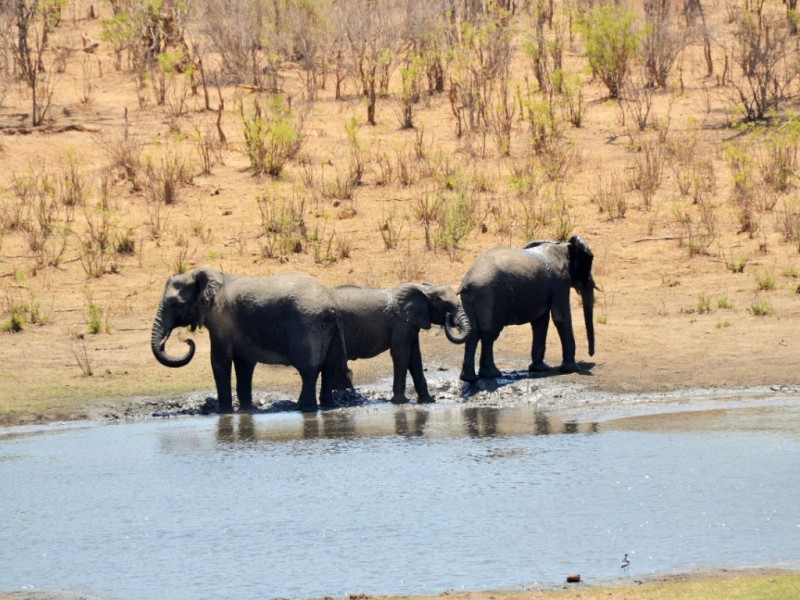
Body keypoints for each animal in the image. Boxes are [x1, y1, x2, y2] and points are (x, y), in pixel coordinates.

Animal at [150, 268, 350, 412]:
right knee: (328, 368)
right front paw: (246, 410)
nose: (187, 341)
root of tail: (331, 307)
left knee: (308, 370)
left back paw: (305, 409)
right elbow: (244, 363)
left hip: (307, 325)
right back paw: (326, 406)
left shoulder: (220, 319)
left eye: (174, 304)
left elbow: (219, 361)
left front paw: (224, 412)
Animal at [330, 284, 468, 406]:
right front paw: (401, 402)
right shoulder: (401, 321)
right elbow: (401, 352)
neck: (425, 289)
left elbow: (414, 356)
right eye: (446, 304)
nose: (448, 318)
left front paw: (428, 402)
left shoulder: (411, 322)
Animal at [460, 234, 596, 380]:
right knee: (489, 333)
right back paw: (492, 374)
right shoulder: (560, 281)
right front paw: (571, 370)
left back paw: (469, 378)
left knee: (473, 332)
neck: (563, 247)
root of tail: (469, 282)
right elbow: (560, 317)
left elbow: (540, 321)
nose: (590, 354)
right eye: (588, 267)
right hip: (489, 295)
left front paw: (540, 369)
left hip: (472, 298)